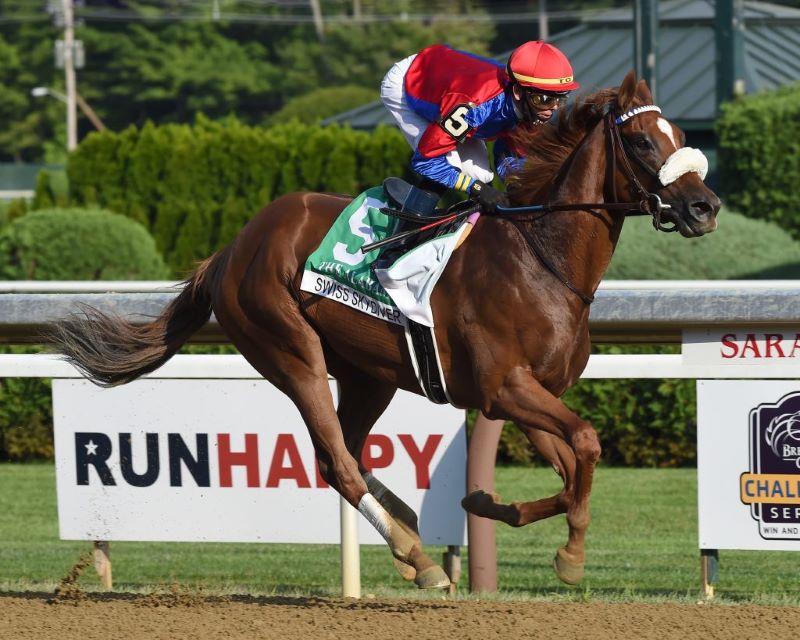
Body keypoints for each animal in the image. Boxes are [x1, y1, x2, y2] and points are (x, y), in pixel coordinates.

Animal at [48, 71, 720, 592]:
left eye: (684, 138)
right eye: (641, 140)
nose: (705, 207)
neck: (540, 258)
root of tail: (232, 248)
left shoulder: (530, 394)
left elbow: (569, 468)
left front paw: (486, 504)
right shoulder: (505, 388)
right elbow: (586, 442)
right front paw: (573, 555)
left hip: (370, 374)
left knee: (346, 450)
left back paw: (410, 535)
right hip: (291, 351)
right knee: (336, 461)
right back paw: (417, 558)